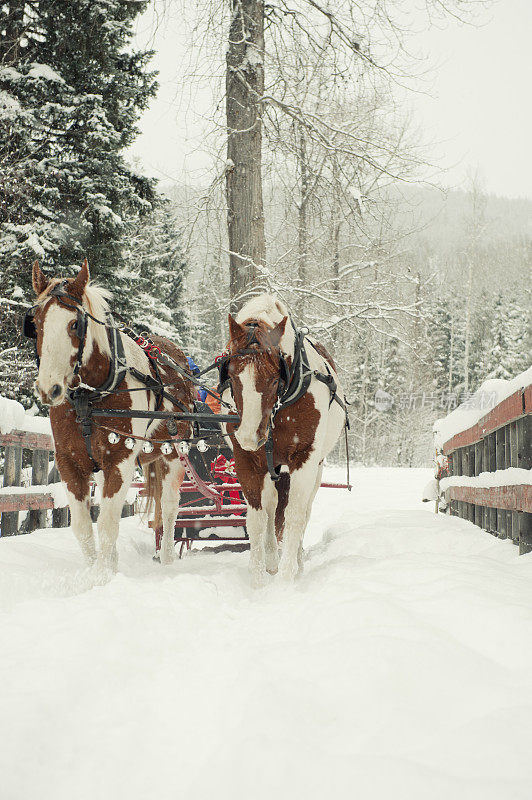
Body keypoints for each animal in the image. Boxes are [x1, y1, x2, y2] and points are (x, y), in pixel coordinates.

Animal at [25, 260, 195, 568]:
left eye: (75, 324)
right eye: (36, 324)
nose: (48, 388)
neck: (89, 398)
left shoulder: (121, 460)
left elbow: (107, 525)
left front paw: (103, 575)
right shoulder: (70, 462)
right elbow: (83, 527)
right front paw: (98, 571)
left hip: (174, 454)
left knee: (169, 509)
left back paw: (166, 559)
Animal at [219, 294, 348, 580]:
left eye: (273, 378)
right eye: (231, 375)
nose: (249, 436)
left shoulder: (303, 459)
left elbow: (295, 516)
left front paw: (288, 576)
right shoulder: (246, 461)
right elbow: (258, 520)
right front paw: (258, 577)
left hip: (311, 468)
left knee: (300, 512)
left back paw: (295, 562)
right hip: (272, 467)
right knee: (272, 508)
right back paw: (271, 560)